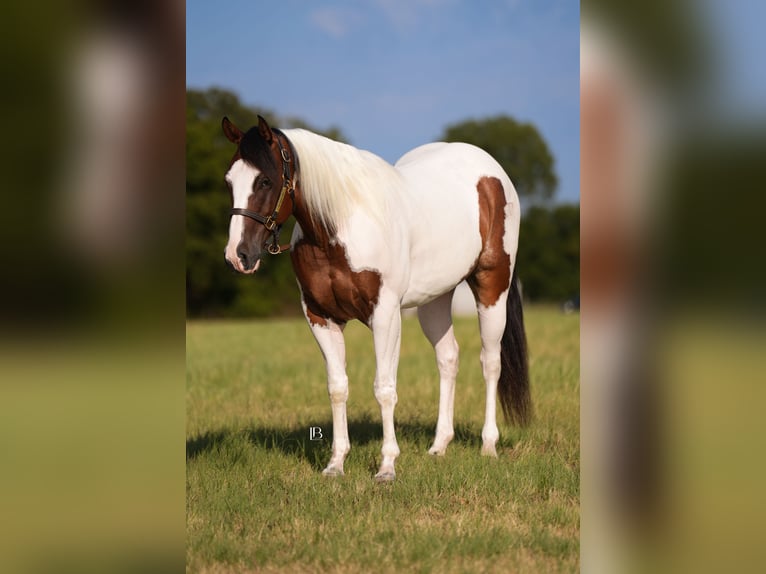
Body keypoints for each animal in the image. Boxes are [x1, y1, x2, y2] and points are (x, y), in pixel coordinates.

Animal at [221, 115, 530, 482]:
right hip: (434, 299)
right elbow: (337, 387)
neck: (339, 228)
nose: (238, 256)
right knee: (448, 358)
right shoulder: (320, 317)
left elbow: (384, 388)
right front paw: (335, 464)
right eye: (229, 181)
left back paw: (488, 445)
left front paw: (386, 467)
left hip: (492, 286)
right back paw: (439, 446)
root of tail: (492, 172)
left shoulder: (384, 316)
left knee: (491, 362)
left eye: (265, 181)